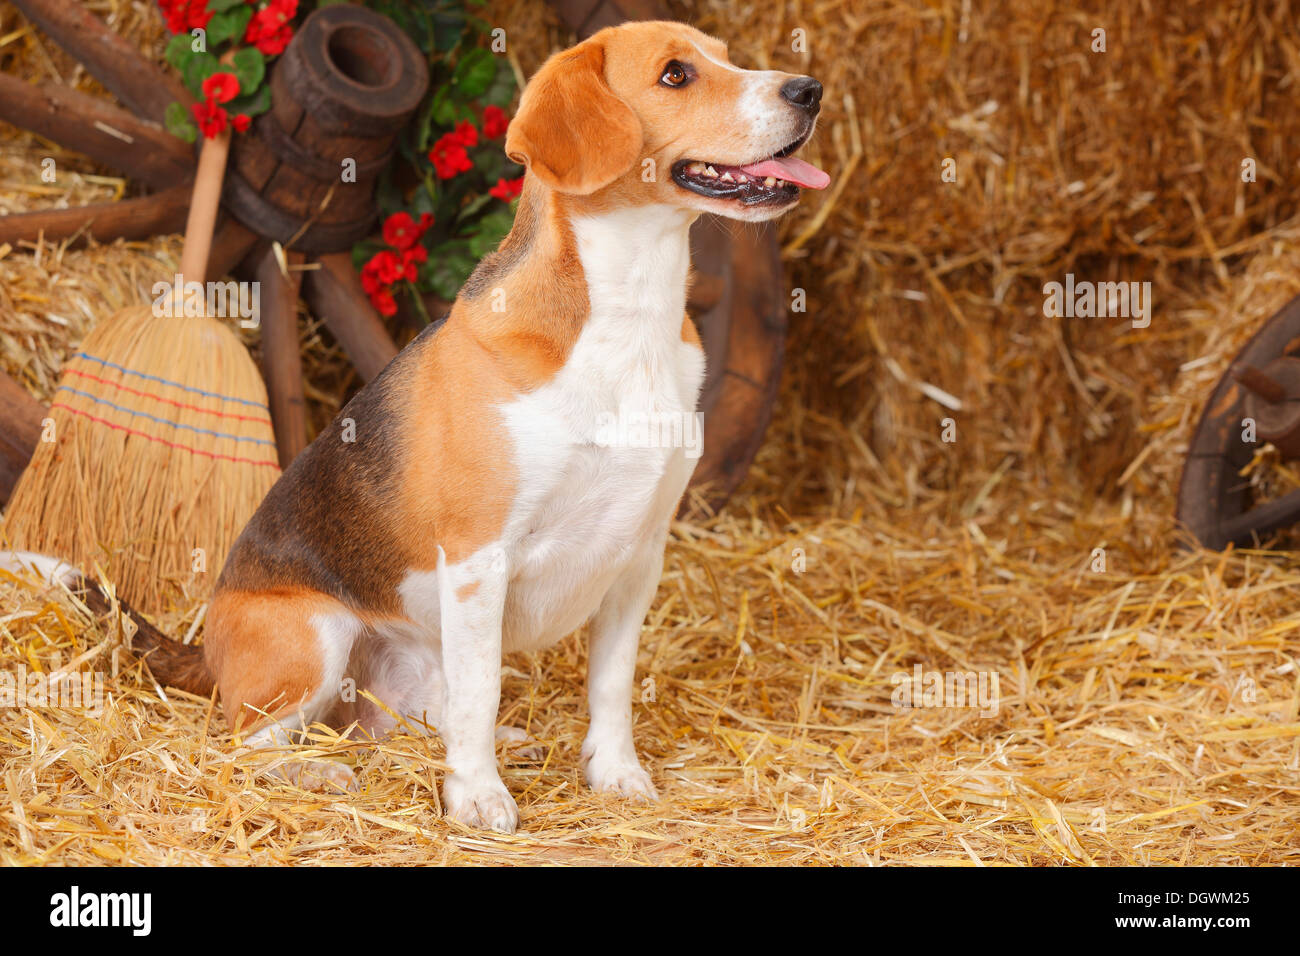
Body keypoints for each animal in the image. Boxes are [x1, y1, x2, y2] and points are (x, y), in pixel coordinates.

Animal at [7, 18, 821, 832]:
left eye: (727, 56)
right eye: (676, 74)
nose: (809, 90)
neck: (626, 311)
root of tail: (204, 652)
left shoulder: (640, 554)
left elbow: (612, 684)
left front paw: (614, 773)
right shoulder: (479, 557)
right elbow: (483, 689)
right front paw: (478, 796)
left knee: (400, 724)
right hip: (315, 635)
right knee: (247, 745)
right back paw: (317, 772)